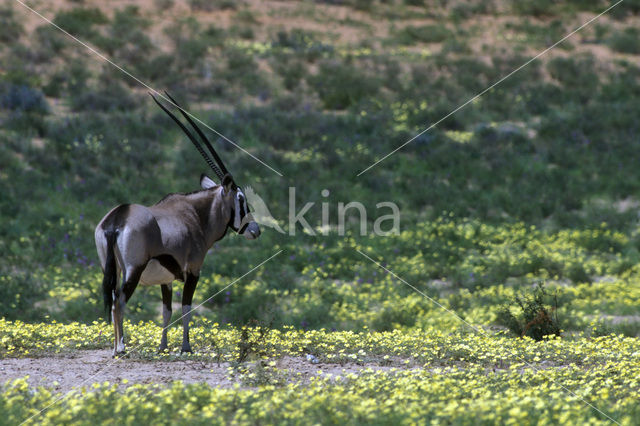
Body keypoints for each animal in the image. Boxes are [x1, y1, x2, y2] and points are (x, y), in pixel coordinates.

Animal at [95, 93, 260, 356]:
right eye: (241, 199)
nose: (255, 230)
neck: (195, 214)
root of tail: (118, 217)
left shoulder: (167, 280)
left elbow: (166, 311)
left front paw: (162, 347)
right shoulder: (193, 271)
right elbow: (186, 308)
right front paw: (186, 347)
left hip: (112, 268)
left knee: (111, 299)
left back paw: (115, 346)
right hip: (133, 270)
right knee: (119, 301)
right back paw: (121, 347)